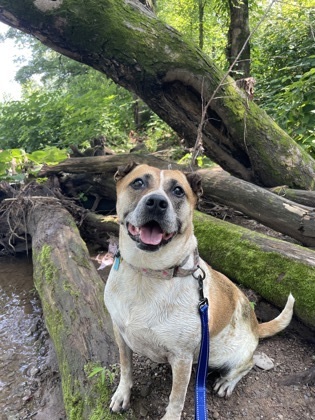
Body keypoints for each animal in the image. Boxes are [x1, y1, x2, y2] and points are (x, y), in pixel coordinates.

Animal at [105, 163, 296, 420]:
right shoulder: (121, 335)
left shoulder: (182, 358)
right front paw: (122, 394)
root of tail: (256, 325)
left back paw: (227, 381)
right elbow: (126, 369)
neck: (149, 272)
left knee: (248, 363)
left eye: (178, 190)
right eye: (138, 183)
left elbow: (176, 397)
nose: (156, 202)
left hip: (220, 355)